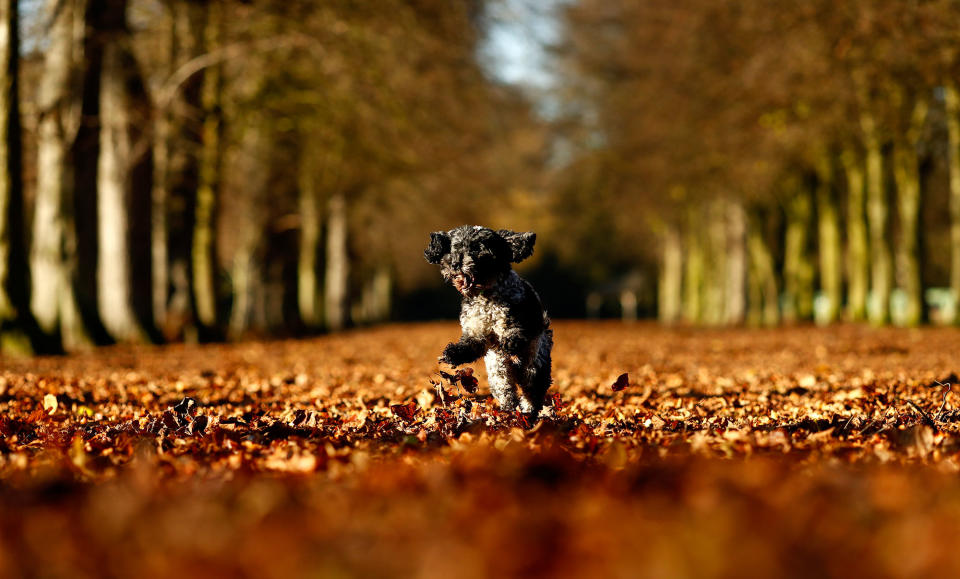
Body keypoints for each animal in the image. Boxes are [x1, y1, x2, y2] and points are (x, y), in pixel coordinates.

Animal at [422, 227, 552, 416]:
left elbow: (514, 332)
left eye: (476, 248)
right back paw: (509, 409)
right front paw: (452, 354)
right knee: (506, 391)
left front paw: (509, 341)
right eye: (454, 248)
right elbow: (470, 346)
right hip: (498, 371)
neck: (485, 296)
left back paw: (529, 410)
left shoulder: (518, 320)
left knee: (532, 390)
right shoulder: (476, 333)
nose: (455, 264)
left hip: (534, 363)